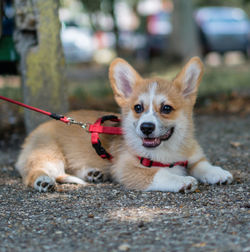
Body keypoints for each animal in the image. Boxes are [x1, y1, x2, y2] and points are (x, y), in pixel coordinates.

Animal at [15, 57, 233, 192]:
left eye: (166, 108)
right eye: (138, 107)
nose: (146, 127)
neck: (168, 151)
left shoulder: (193, 158)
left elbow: (203, 165)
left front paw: (218, 173)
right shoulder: (129, 169)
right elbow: (161, 174)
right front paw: (182, 181)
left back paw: (93, 174)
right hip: (49, 155)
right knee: (35, 173)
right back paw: (43, 181)